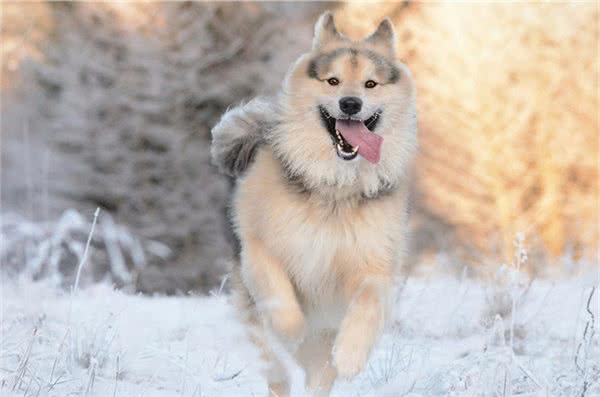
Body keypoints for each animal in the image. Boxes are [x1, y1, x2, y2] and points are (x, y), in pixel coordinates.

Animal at [211, 10, 418, 394]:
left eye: (370, 84)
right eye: (333, 81)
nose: (350, 104)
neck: (334, 185)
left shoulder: (374, 267)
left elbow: (367, 303)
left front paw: (350, 356)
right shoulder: (261, 251)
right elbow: (281, 301)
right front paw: (291, 330)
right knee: (276, 368)